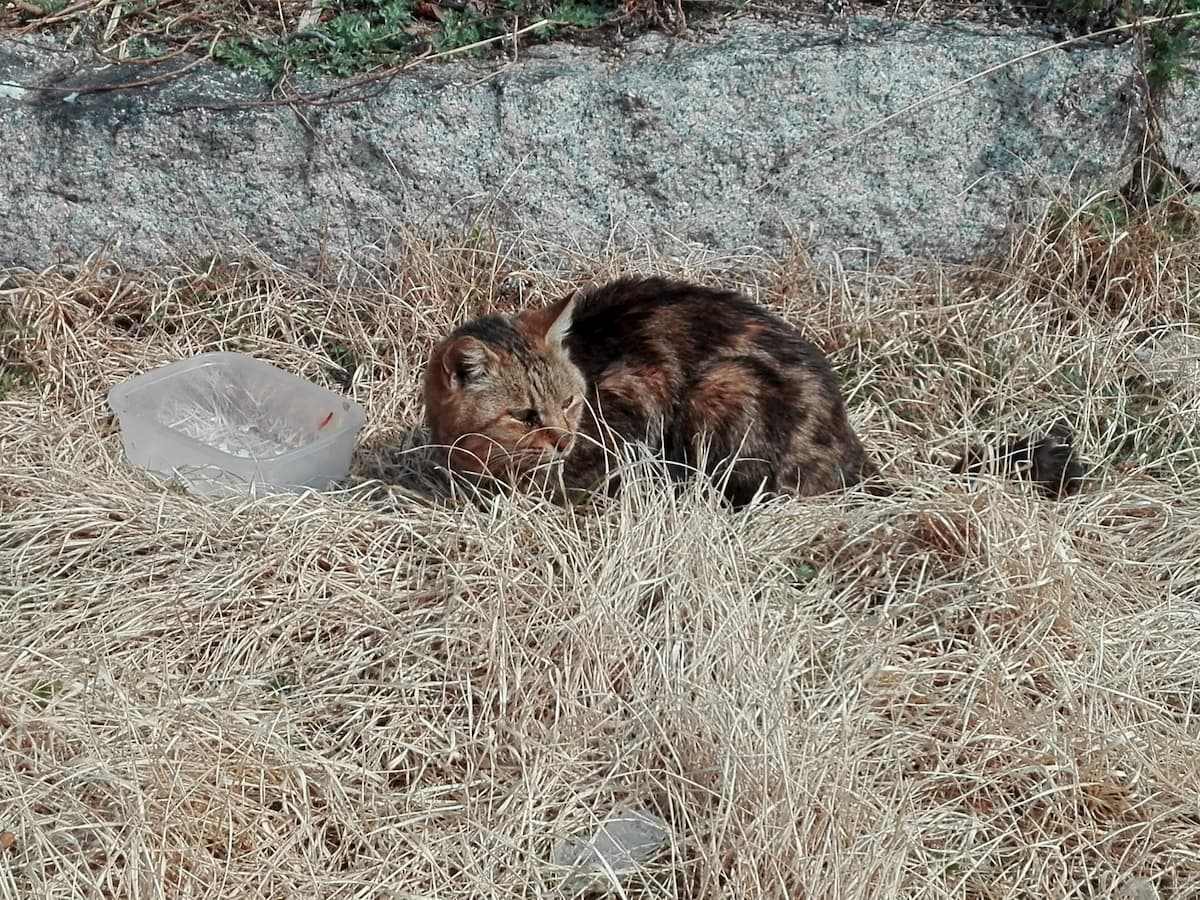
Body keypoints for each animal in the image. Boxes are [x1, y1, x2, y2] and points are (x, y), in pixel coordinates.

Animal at [424, 274, 1089, 508]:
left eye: (568, 402)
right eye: (524, 415)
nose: (562, 439)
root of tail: (852, 448)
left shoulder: (636, 394)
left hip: (726, 386)